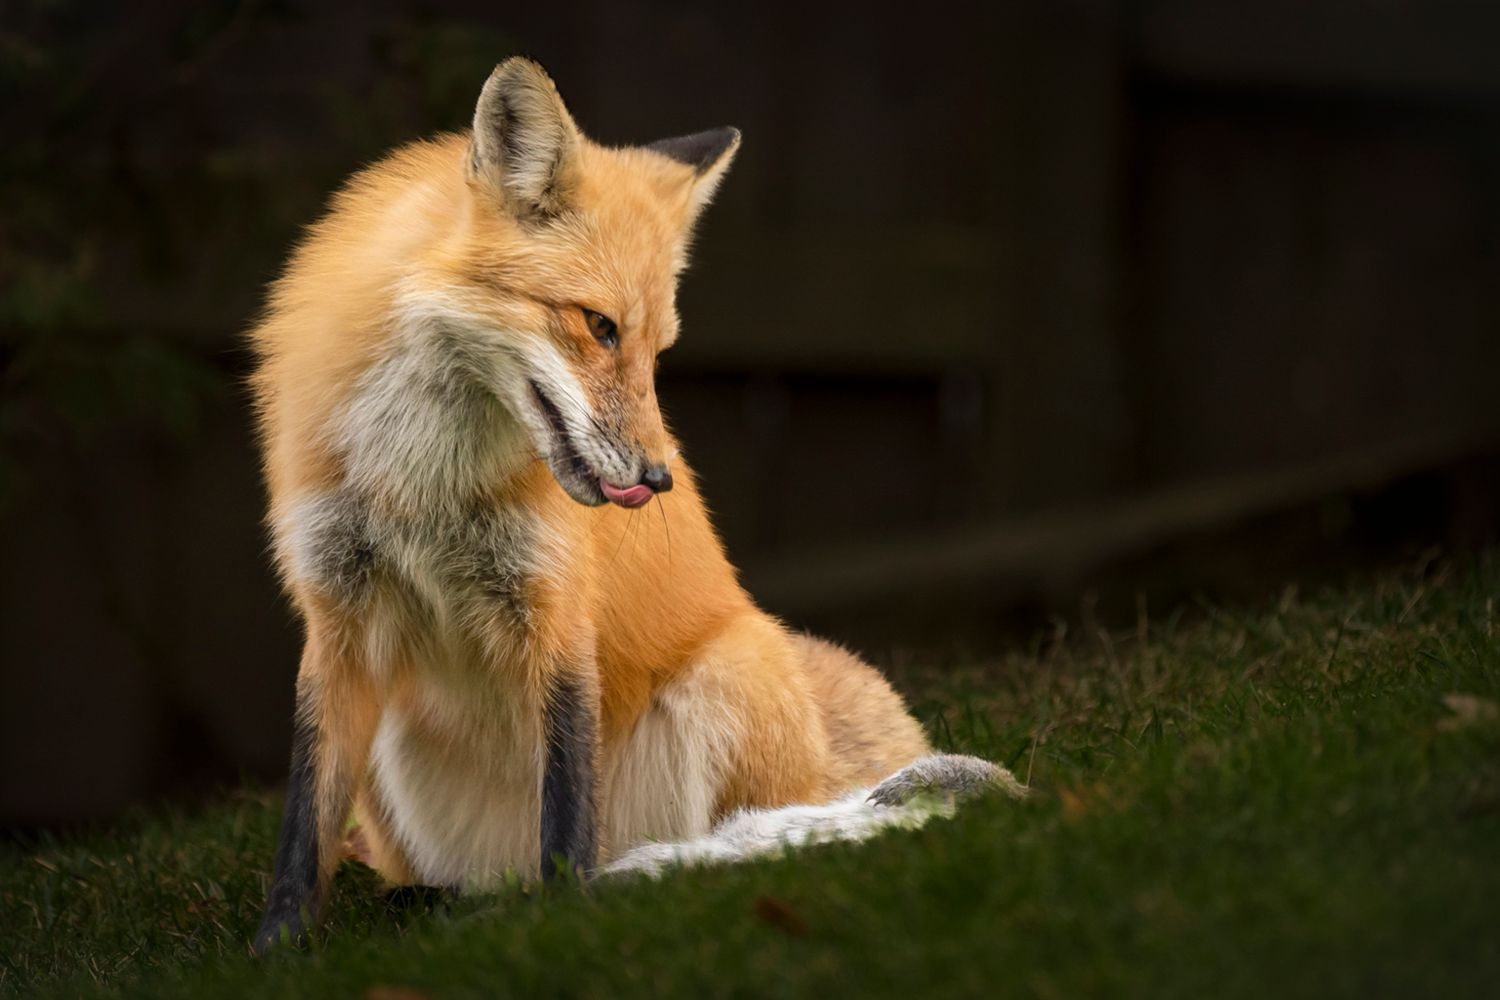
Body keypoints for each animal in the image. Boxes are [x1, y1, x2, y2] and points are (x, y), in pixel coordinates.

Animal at [250, 57, 1023, 953]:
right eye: (598, 325)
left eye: (659, 350)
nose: (659, 480)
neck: (425, 482)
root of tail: (493, 871)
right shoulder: (336, 617)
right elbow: (305, 819)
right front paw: (278, 947)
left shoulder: (556, 610)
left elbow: (566, 807)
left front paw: (564, 916)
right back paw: (438, 900)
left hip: (729, 672)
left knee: (742, 834)